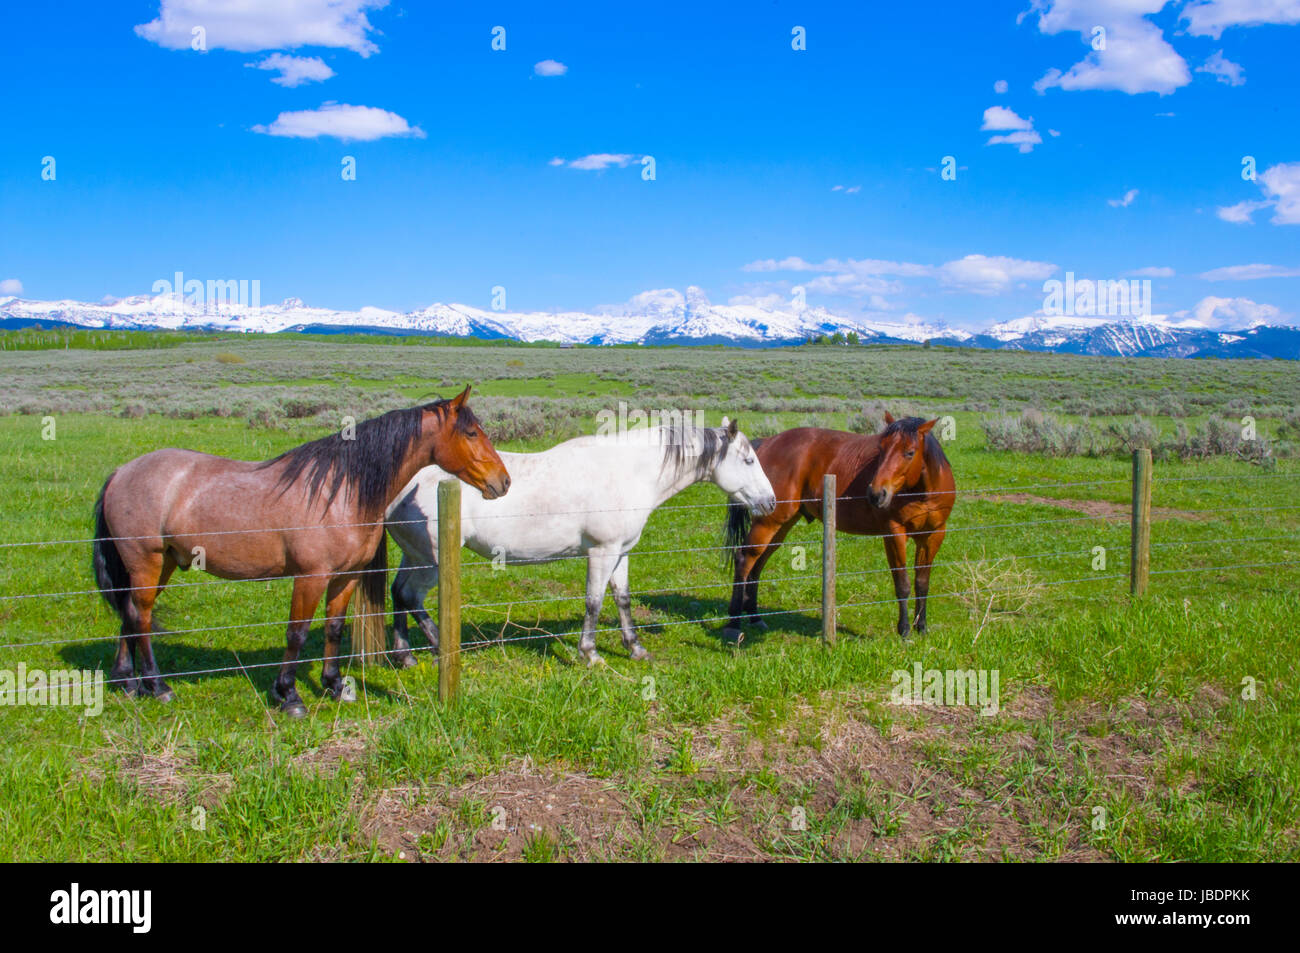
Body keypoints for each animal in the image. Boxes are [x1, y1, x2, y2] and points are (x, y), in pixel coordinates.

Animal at [90, 387, 506, 712]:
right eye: (471, 432)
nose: (503, 481)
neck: (340, 492)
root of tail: (121, 472)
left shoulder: (345, 576)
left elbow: (334, 627)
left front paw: (335, 685)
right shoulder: (310, 577)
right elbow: (297, 633)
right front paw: (288, 695)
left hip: (161, 565)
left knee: (131, 613)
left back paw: (127, 682)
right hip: (146, 561)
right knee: (142, 616)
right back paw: (157, 686)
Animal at [384, 416, 769, 670]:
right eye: (749, 460)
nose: (770, 501)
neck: (630, 471)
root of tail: (403, 485)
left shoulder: (621, 552)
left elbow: (622, 599)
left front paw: (635, 648)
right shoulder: (602, 552)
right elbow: (594, 602)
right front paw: (590, 653)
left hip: (412, 556)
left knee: (397, 592)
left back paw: (405, 656)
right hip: (431, 562)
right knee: (411, 596)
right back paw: (442, 647)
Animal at [722, 413, 956, 639]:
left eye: (910, 452)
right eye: (881, 449)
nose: (876, 493)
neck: (921, 493)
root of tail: (769, 441)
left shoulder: (933, 536)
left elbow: (922, 582)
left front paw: (922, 627)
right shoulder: (894, 533)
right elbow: (903, 583)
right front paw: (905, 630)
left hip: (781, 524)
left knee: (757, 563)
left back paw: (755, 617)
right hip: (769, 522)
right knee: (744, 559)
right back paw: (734, 623)